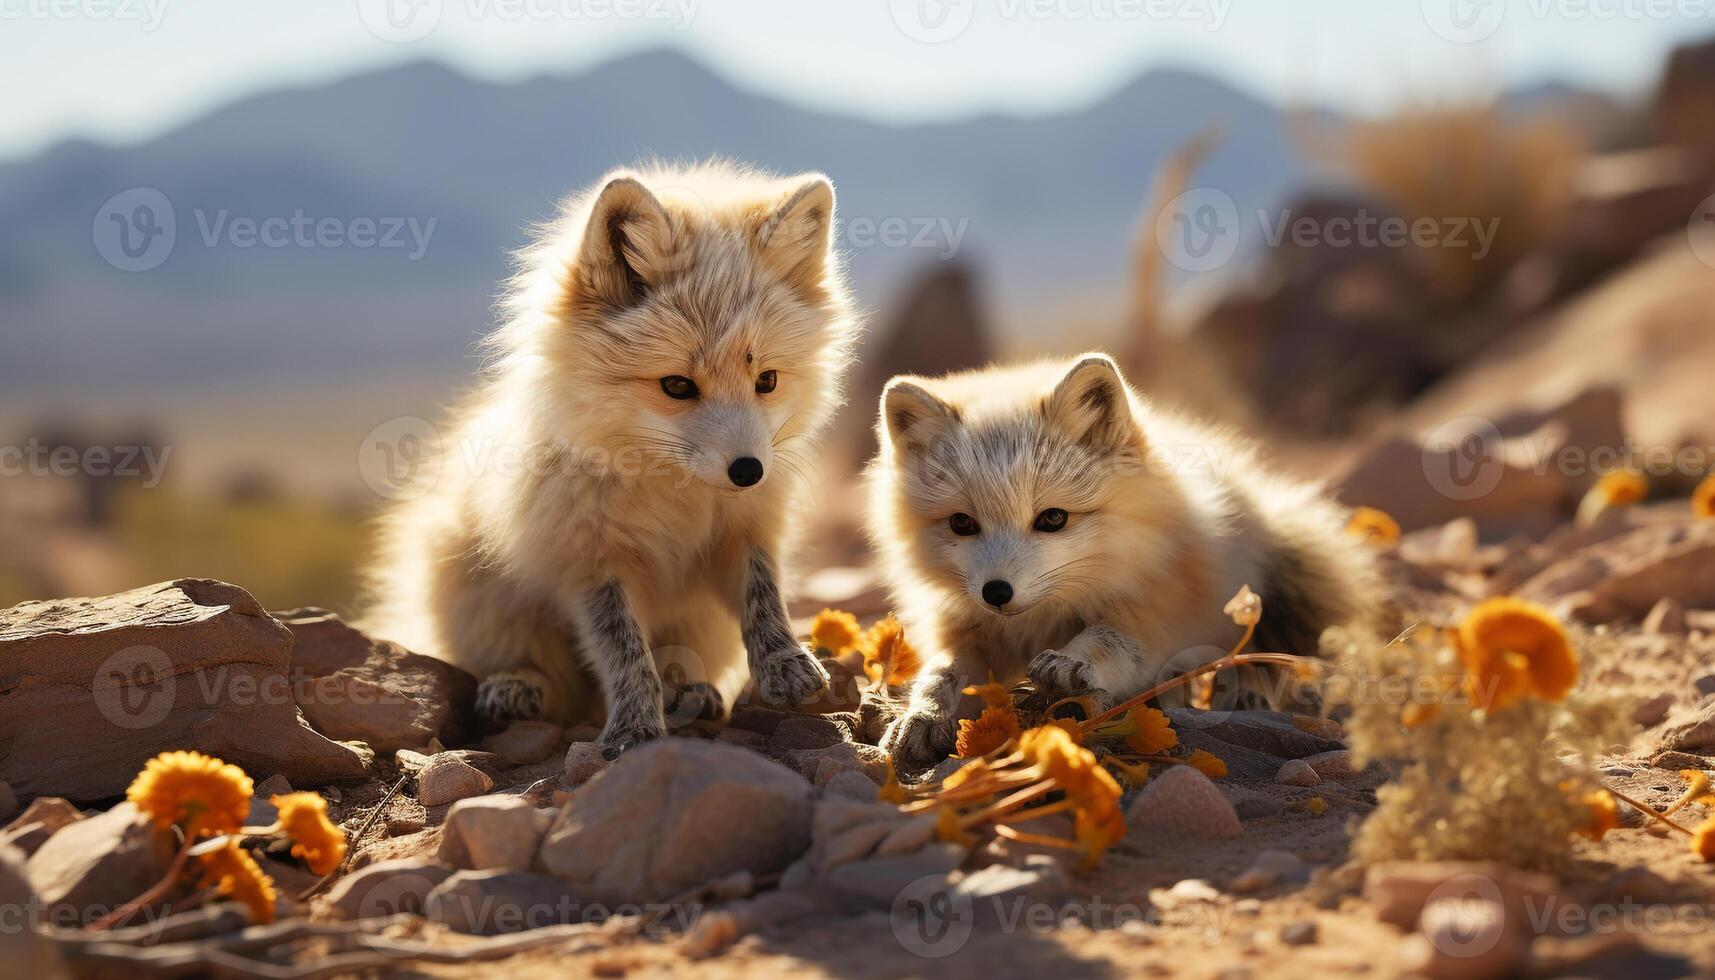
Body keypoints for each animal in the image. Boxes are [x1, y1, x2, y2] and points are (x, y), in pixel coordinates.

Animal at [370, 161, 864, 758]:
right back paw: (516, 685)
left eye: (766, 380)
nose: (748, 471)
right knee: (542, 679)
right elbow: (624, 651)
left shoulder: (745, 529)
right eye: (677, 385)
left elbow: (763, 598)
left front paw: (785, 665)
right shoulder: (588, 562)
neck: (674, 496)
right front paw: (634, 729)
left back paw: (691, 691)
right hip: (478, 592)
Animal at [871, 356, 1378, 772]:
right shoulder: (963, 628)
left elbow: (1109, 639)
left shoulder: (1161, 605)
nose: (996, 593)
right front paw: (923, 716)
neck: (1038, 621)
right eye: (962, 523)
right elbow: (941, 673)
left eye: (1052, 518)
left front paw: (1071, 661)